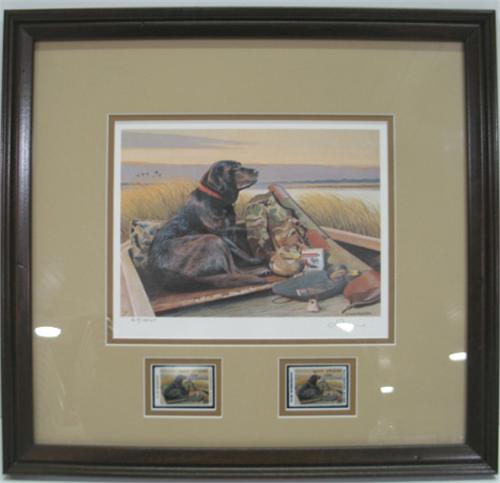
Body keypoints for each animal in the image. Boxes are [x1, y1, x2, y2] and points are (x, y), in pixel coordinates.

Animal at [148, 160, 268, 291]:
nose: (256, 171)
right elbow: (239, 251)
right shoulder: (221, 234)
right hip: (213, 240)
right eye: (235, 168)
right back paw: (259, 270)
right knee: (233, 271)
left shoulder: (231, 229)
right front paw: (254, 259)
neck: (215, 197)